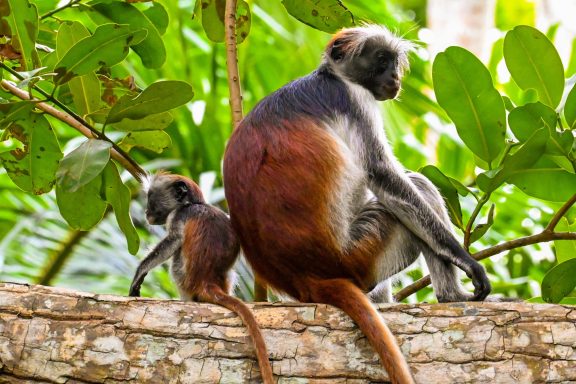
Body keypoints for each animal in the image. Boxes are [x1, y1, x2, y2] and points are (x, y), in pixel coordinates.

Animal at [129, 172, 274, 382]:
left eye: (150, 197)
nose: (147, 210)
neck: (194, 204)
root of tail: (206, 282)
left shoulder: (178, 216)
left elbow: (173, 241)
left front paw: (141, 271)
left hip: (183, 277)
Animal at [225, 25, 490, 382]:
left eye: (394, 62)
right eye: (380, 59)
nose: (394, 77)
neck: (332, 76)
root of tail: (305, 278)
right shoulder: (354, 99)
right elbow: (382, 173)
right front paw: (468, 262)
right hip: (364, 251)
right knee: (415, 189)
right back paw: (451, 297)